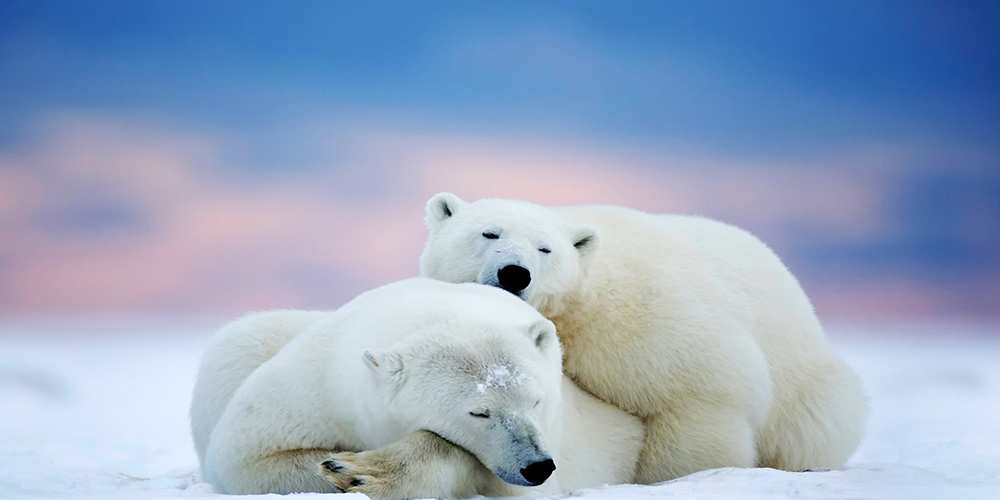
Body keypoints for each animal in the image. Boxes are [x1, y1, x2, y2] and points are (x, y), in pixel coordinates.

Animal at [191, 278, 644, 496]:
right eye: (479, 411)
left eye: (536, 400)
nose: (536, 465)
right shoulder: (318, 384)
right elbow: (249, 458)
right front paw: (341, 466)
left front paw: (361, 472)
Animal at [418, 193, 872, 482]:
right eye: (489, 233)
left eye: (545, 249)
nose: (515, 273)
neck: (579, 304)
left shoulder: (642, 320)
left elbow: (696, 395)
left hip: (806, 388)